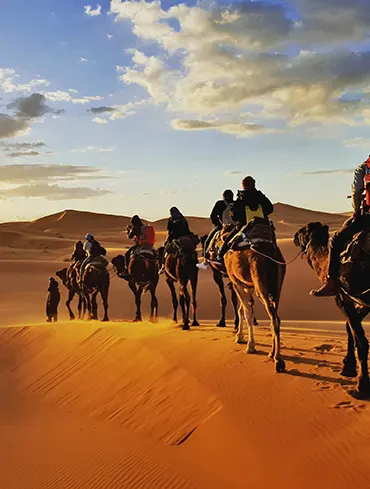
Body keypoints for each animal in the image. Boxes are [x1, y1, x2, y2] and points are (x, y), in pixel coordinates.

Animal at [223, 239, 286, 370]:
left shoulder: (236, 282)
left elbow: (247, 313)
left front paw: (250, 346)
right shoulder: (248, 286)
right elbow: (243, 309)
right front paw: (239, 336)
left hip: (260, 283)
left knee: (274, 318)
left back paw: (278, 359)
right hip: (277, 287)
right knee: (275, 316)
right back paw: (272, 353)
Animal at [294, 221, 370, 396]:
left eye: (302, 231)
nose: (294, 237)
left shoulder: (342, 297)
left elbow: (361, 340)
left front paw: (361, 386)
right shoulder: (360, 301)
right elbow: (350, 329)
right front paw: (348, 366)